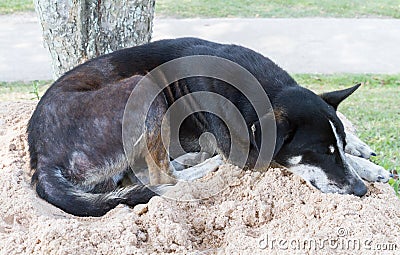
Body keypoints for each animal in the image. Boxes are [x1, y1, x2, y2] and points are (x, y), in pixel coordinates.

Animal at [28, 36, 390, 216]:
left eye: (336, 148)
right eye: (320, 153)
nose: (361, 191)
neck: (266, 91)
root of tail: (41, 159)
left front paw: (360, 153)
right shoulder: (251, 150)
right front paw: (366, 168)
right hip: (142, 88)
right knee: (161, 177)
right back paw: (208, 162)